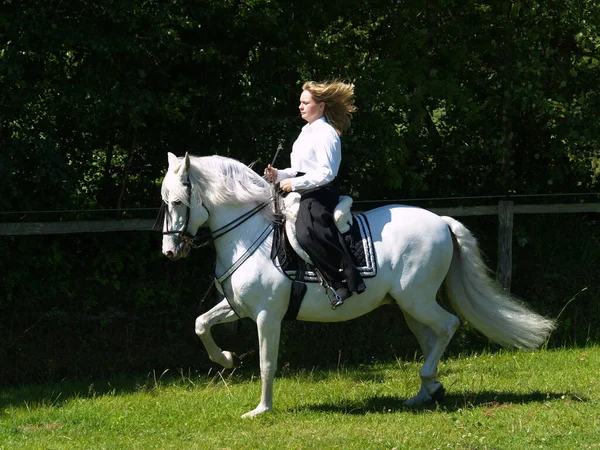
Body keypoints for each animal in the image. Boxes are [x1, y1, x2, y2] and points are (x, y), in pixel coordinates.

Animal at [161, 152, 556, 418]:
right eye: (163, 202)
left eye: (178, 201)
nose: (170, 251)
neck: (250, 235)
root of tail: (442, 221)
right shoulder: (238, 307)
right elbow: (200, 324)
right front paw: (226, 359)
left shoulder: (266, 315)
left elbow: (266, 362)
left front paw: (261, 409)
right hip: (409, 306)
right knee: (431, 337)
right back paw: (426, 392)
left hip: (417, 300)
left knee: (448, 325)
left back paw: (427, 382)